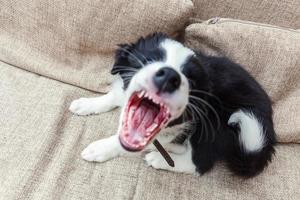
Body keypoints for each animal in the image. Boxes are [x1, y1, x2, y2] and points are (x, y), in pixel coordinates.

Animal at [69, 33, 276, 178]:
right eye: (148, 60)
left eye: (190, 80)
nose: (169, 76)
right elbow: (113, 96)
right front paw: (86, 104)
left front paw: (100, 149)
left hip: (217, 122)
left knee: (199, 163)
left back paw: (159, 158)